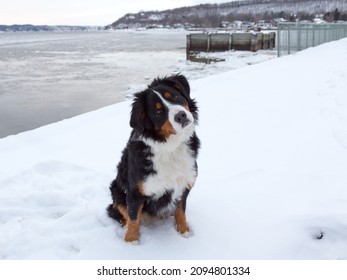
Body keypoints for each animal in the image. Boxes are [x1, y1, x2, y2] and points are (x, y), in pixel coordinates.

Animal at [108, 74, 201, 243]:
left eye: (175, 96)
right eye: (158, 111)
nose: (181, 116)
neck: (170, 148)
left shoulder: (184, 184)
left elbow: (181, 212)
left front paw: (184, 233)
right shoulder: (134, 192)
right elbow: (133, 220)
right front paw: (131, 243)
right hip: (116, 189)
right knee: (118, 211)